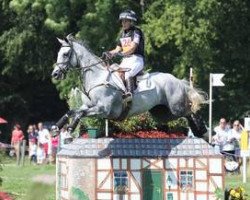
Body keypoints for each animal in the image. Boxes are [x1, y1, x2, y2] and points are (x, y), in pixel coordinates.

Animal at [52, 34, 207, 138]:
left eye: (65, 54)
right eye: (59, 53)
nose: (55, 74)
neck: (96, 77)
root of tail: (177, 80)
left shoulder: (104, 110)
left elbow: (79, 113)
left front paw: (70, 130)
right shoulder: (88, 106)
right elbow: (72, 111)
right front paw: (56, 128)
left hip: (176, 108)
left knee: (191, 112)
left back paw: (202, 132)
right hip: (162, 113)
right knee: (184, 115)